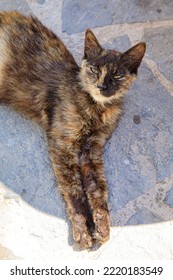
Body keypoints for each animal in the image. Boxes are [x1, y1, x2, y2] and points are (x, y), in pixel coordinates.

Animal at [0, 12, 146, 249]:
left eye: (117, 76)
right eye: (94, 70)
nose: (102, 86)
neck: (95, 109)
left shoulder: (92, 150)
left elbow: (98, 189)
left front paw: (101, 226)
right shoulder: (62, 144)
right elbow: (74, 190)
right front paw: (83, 231)